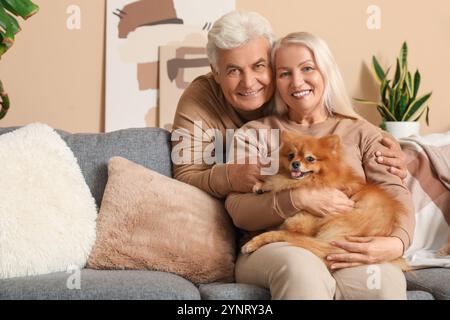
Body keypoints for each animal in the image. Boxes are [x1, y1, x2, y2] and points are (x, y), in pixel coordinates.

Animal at [244, 131, 406, 268]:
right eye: (290, 155)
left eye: (310, 158)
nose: (295, 163)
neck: (315, 181)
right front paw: (261, 186)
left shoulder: (301, 224)